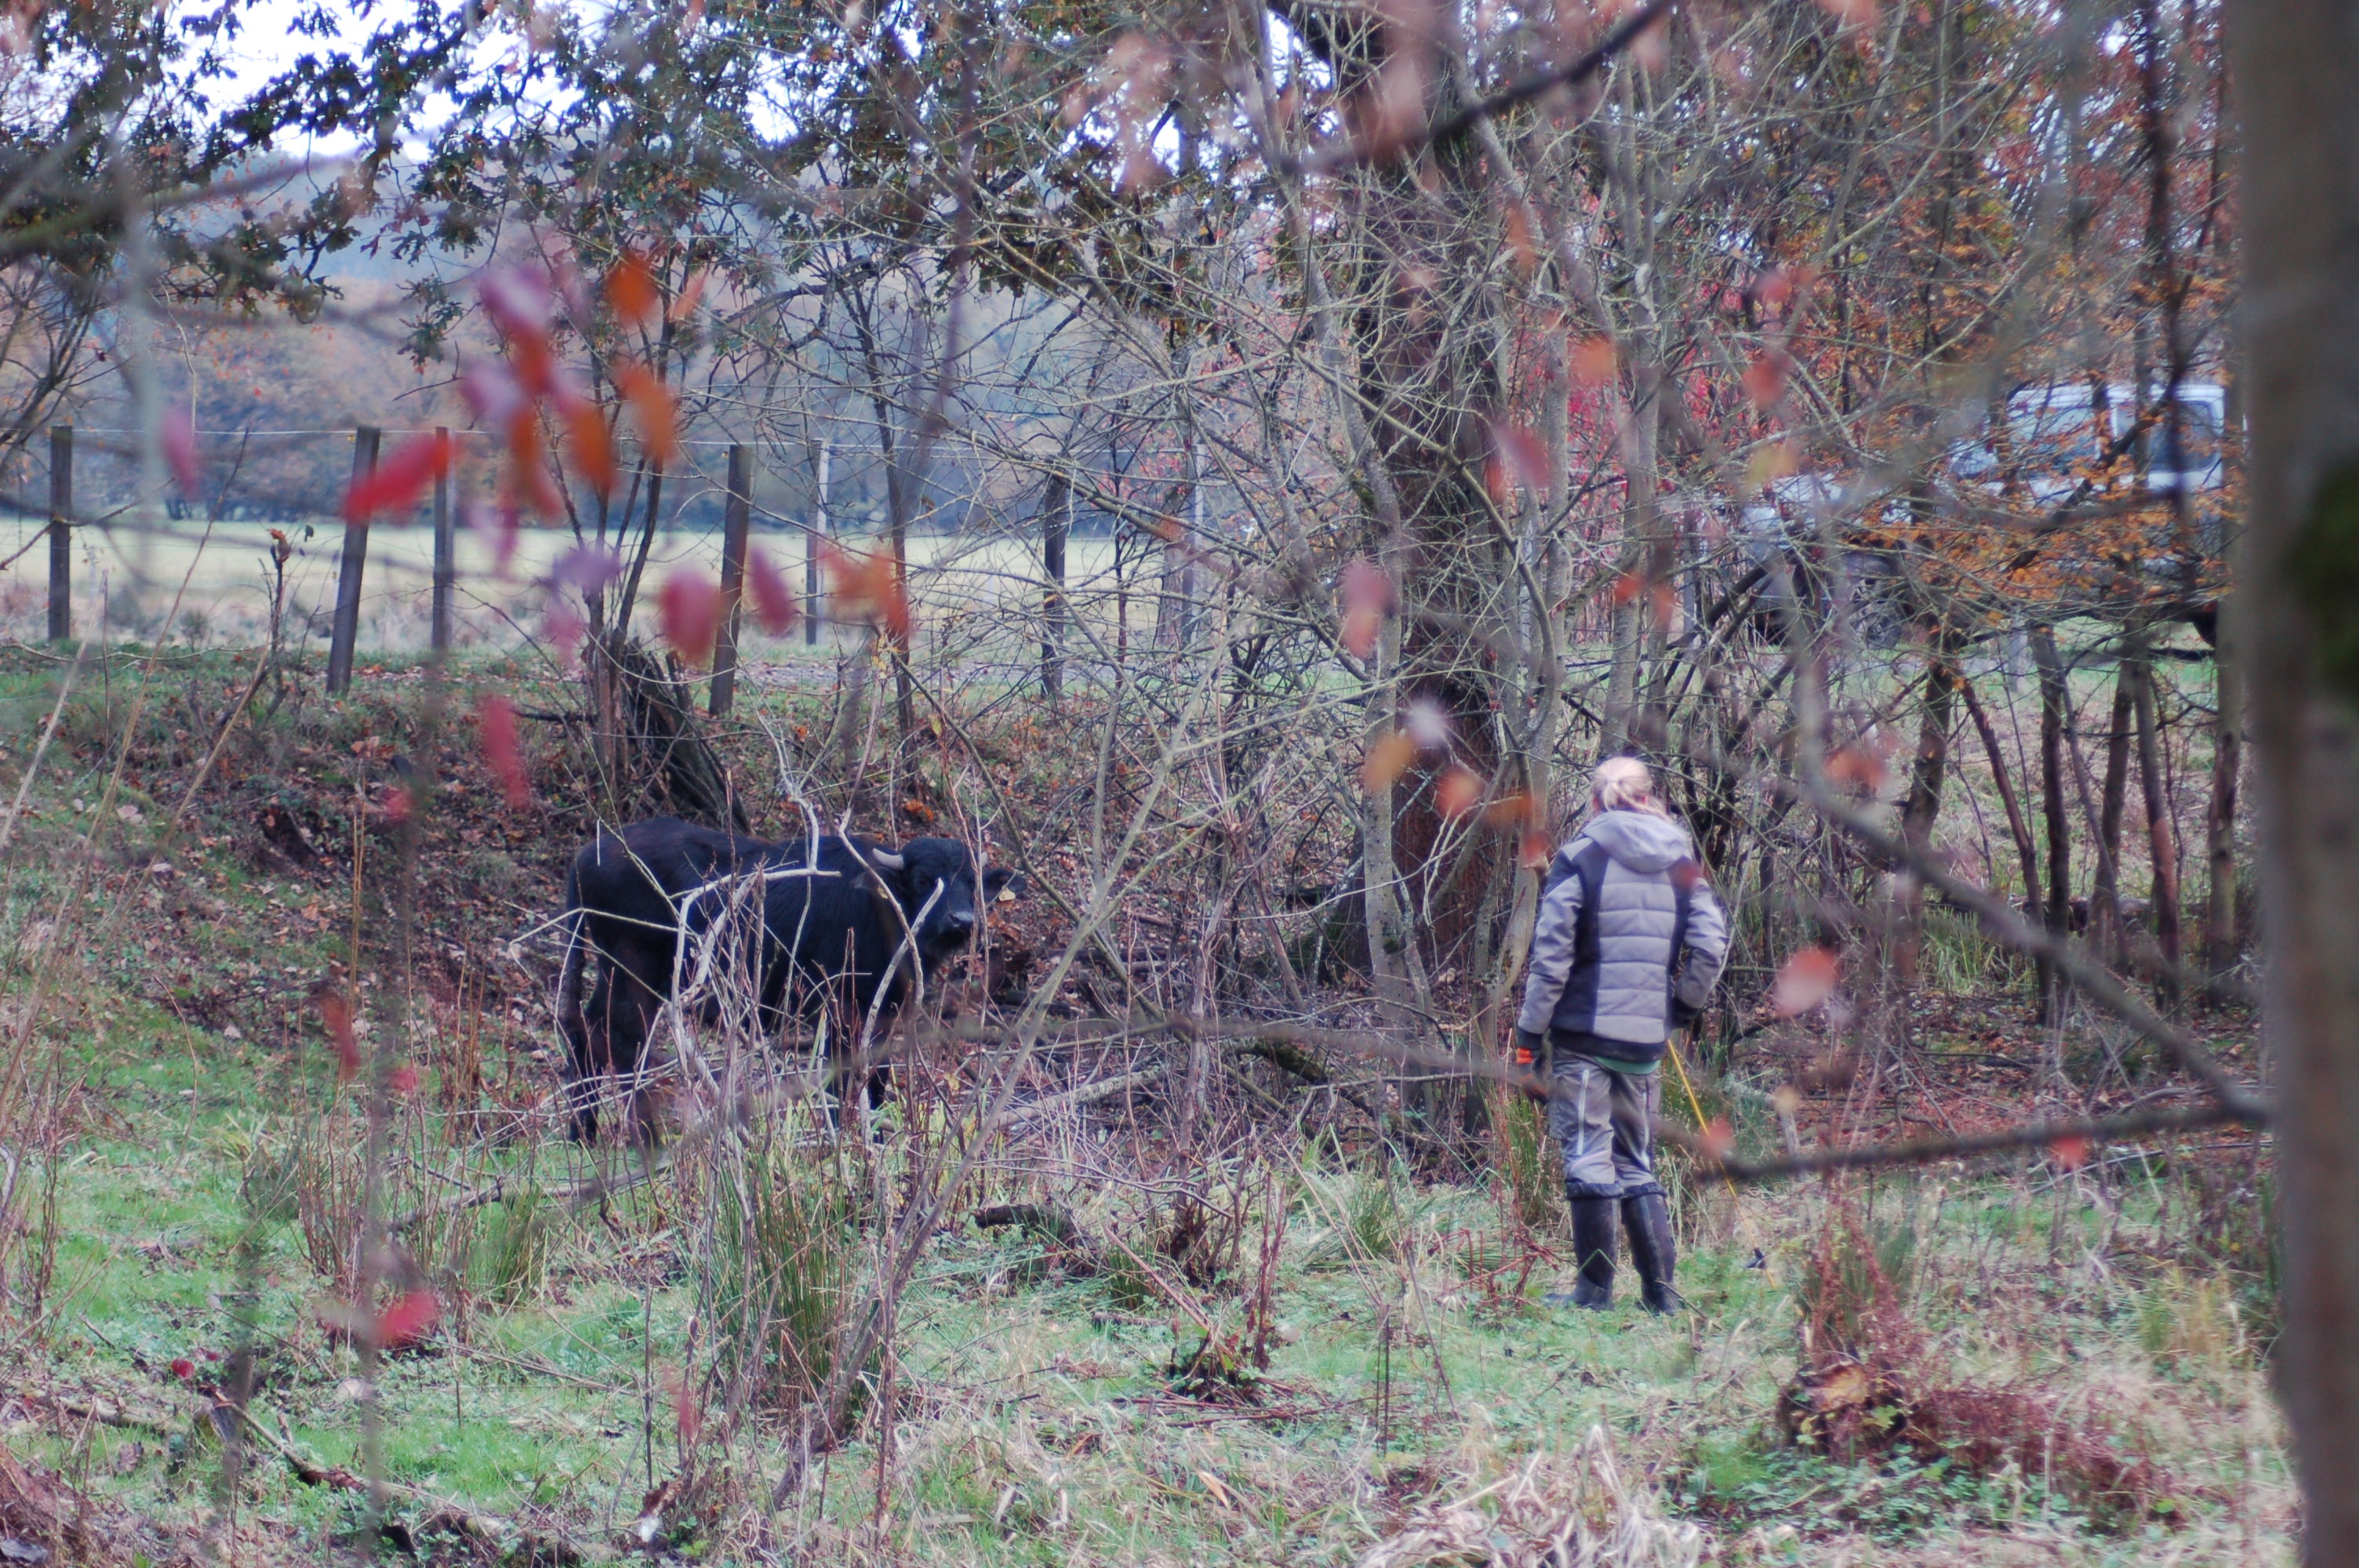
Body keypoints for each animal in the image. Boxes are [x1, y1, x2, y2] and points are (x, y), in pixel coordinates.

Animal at [551, 820, 1014, 1136]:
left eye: (970, 883)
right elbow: (843, 1075)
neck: (880, 908)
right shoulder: (842, 1006)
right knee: (620, 1037)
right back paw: (644, 1138)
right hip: (634, 968)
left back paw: (585, 1131)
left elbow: (877, 1074)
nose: (962, 921)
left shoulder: (884, 1011)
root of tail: (587, 853)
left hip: (616, 971)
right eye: (922, 880)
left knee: (589, 1029)